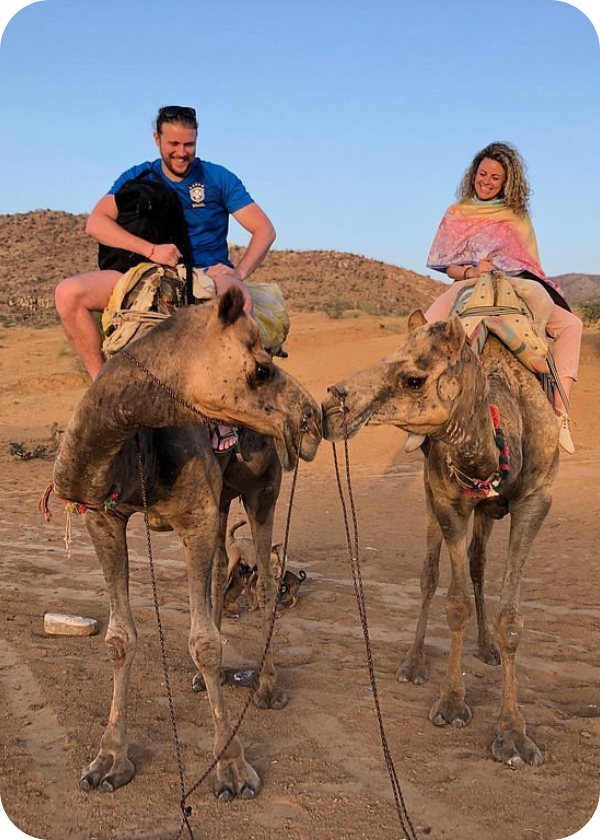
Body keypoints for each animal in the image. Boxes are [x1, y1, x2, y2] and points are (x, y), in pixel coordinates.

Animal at [51, 287, 322, 799]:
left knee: (265, 580)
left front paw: (232, 768)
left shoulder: (194, 516)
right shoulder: (104, 519)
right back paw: (200, 680)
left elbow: (206, 643)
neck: (136, 443)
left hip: (264, 490)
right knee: (221, 569)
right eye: (260, 370)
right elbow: (120, 638)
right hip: (224, 501)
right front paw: (108, 760)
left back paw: (268, 687)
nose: (312, 418)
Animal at [322, 282, 559, 768]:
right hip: (433, 499)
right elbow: (454, 603)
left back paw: (486, 649)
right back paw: (413, 663)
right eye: (386, 356)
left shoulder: (536, 500)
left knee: (478, 565)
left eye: (413, 378)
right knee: (431, 575)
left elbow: (511, 618)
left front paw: (514, 735)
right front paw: (451, 702)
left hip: (488, 512)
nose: (330, 406)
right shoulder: (449, 501)